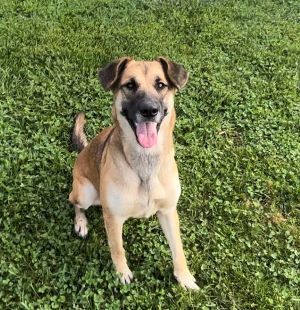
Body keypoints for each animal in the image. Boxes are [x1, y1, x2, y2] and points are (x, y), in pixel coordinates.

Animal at [68, 57, 199, 290]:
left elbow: (178, 248)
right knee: (74, 202)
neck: (144, 164)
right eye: (129, 85)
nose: (149, 110)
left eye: (161, 85)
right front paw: (122, 274)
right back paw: (81, 223)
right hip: (85, 193)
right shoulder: (113, 218)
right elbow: (117, 249)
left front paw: (184, 277)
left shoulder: (168, 211)